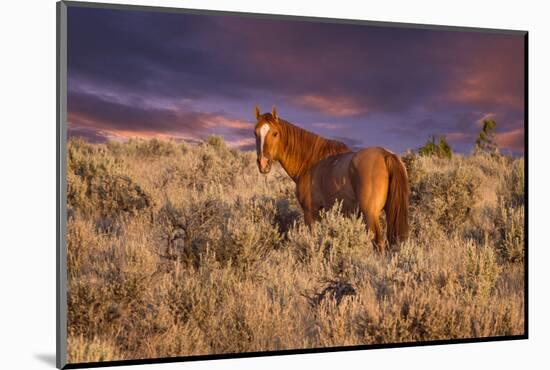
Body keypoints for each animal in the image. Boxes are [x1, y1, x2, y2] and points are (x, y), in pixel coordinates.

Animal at [254, 105, 410, 253]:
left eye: (275, 133)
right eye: (255, 133)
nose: (263, 163)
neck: (310, 162)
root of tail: (385, 155)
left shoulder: (311, 212)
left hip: (370, 214)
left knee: (378, 243)